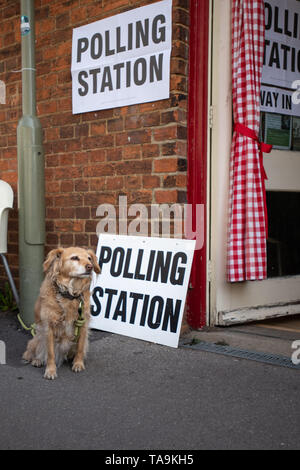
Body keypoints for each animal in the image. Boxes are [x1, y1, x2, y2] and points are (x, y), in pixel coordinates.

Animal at [22, 248, 101, 380]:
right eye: (75, 258)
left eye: (89, 258)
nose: (89, 267)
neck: (69, 294)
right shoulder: (48, 327)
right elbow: (50, 353)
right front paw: (50, 370)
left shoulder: (83, 325)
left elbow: (80, 348)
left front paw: (78, 363)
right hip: (38, 337)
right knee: (34, 351)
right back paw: (37, 360)